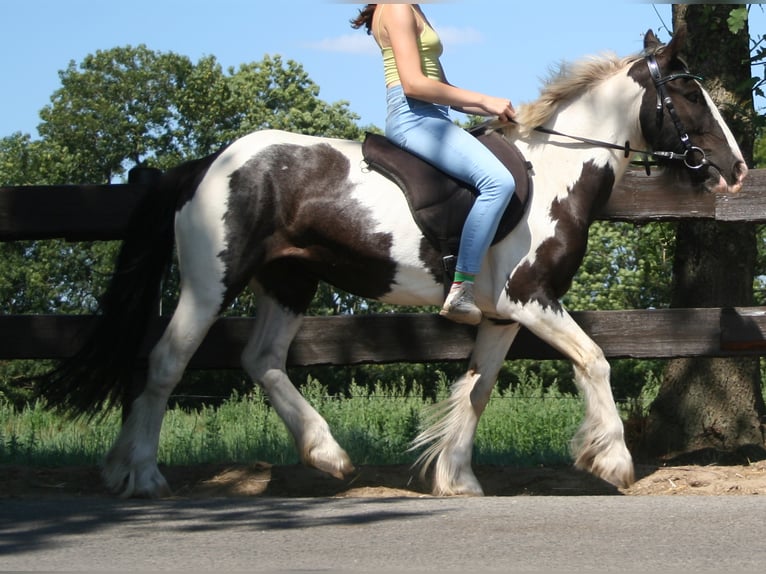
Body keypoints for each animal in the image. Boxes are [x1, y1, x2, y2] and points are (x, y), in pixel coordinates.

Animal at [39, 29, 748, 500]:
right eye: (688, 94)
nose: (737, 169)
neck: (555, 174)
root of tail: (205, 165)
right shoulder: (530, 299)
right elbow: (595, 359)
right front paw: (612, 461)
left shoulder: (502, 316)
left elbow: (477, 389)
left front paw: (457, 478)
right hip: (212, 282)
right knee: (166, 363)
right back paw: (143, 475)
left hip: (290, 281)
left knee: (260, 361)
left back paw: (326, 457)